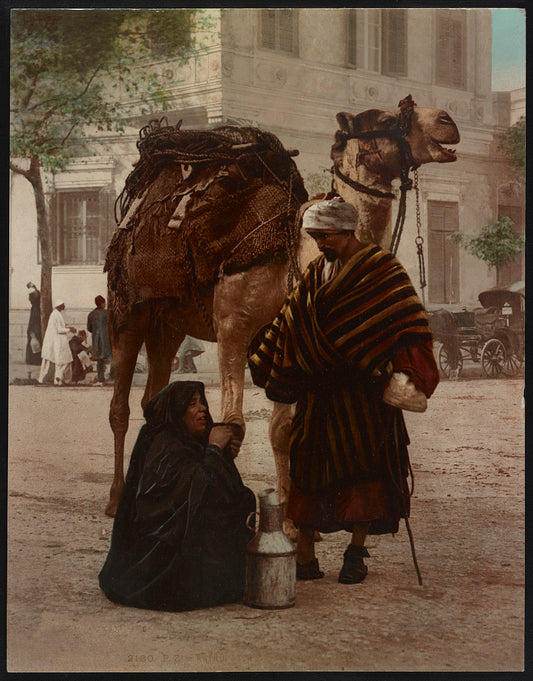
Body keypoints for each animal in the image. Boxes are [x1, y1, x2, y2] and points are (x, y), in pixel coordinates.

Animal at [103, 98, 458, 516]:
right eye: (387, 118)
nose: (447, 122)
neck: (294, 257)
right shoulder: (232, 328)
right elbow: (234, 425)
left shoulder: (288, 344)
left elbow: (282, 430)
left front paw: (290, 510)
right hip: (126, 308)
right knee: (120, 406)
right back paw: (116, 498)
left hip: (169, 322)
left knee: (152, 398)